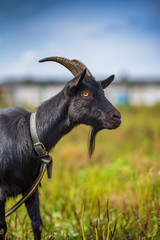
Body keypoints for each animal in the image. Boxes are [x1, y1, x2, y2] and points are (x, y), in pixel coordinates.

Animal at [0, 56, 120, 240]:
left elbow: (37, 224)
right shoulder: (0, 193)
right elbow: (2, 228)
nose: (117, 117)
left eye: (103, 93)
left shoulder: (30, 189)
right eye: (85, 93)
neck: (31, 134)